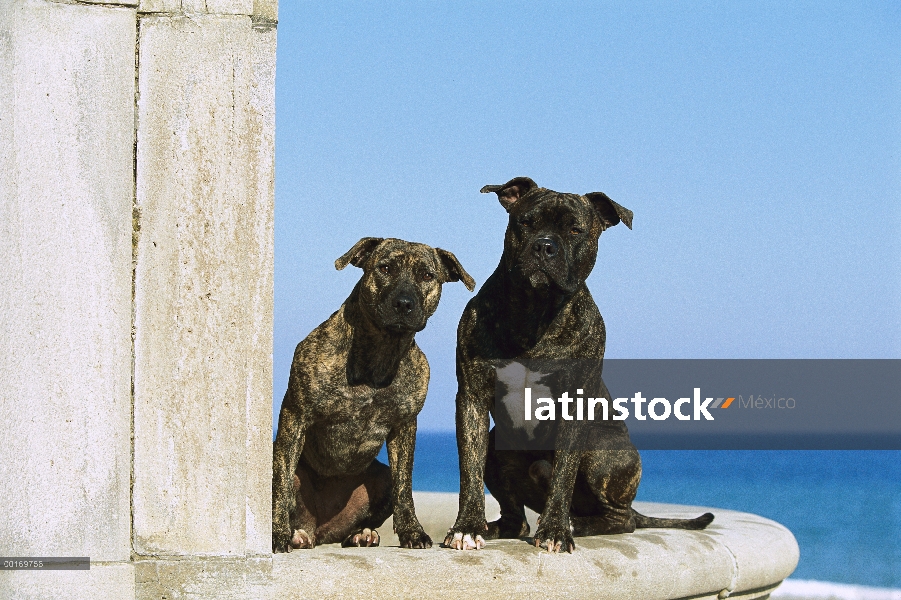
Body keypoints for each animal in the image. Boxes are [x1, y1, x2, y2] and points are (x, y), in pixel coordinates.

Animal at [270, 238, 474, 552]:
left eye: (427, 275)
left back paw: (362, 534)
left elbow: (405, 487)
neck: (381, 349)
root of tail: (319, 529)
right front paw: (278, 533)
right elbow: (281, 485)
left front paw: (412, 531)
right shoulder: (295, 416)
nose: (404, 303)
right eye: (385, 268)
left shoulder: (404, 427)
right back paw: (294, 533)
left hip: (380, 482)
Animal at [442, 177, 712, 552]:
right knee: (516, 518)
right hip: (498, 447)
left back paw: (575, 523)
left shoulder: (575, 405)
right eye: (525, 222)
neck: (535, 311)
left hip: (601, 452)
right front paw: (467, 527)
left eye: (574, 230)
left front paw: (556, 531)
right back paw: (496, 526)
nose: (544, 246)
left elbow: (563, 474)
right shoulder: (472, 398)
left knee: (621, 518)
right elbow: (470, 470)